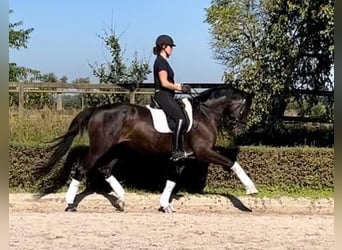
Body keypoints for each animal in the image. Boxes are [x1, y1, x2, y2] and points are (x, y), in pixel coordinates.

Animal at [37, 84, 256, 213]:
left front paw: (165, 205)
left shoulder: (184, 158)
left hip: (118, 150)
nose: (240, 127)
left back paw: (122, 199)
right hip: (100, 148)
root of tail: (97, 110)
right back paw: (70, 204)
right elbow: (232, 163)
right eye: (245, 108)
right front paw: (251, 189)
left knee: (105, 169)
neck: (205, 114)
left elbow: (172, 180)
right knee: (81, 169)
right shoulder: (203, 152)